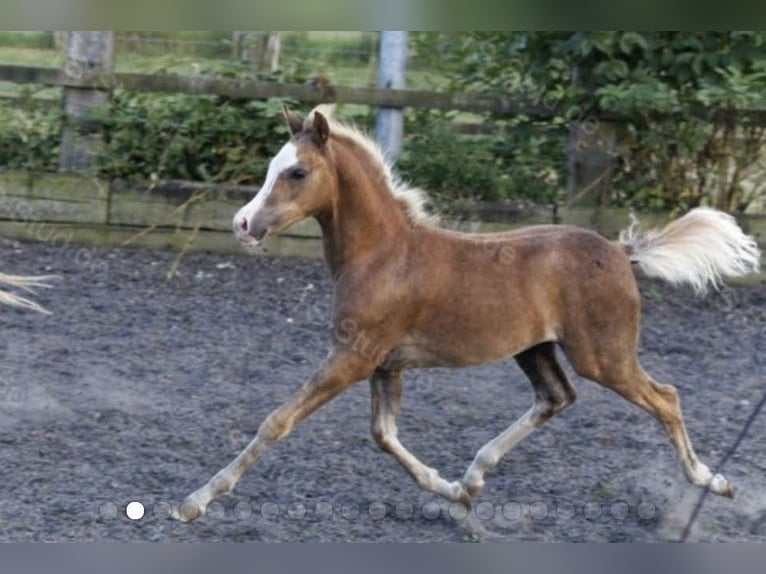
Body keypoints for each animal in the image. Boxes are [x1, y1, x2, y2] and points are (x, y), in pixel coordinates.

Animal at [171, 104, 761, 522]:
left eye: (295, 172)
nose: (242, 224)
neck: (382, 255)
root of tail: (621, 251)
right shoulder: (386, 365)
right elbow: (383, 435)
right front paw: (451, 489)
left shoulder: (352, 359)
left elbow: (278, 420)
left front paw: (195, 501)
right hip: (535, 348)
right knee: (557, 397)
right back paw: (475, 475)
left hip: (604, 355)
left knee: (665, 397)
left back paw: (712, 482)